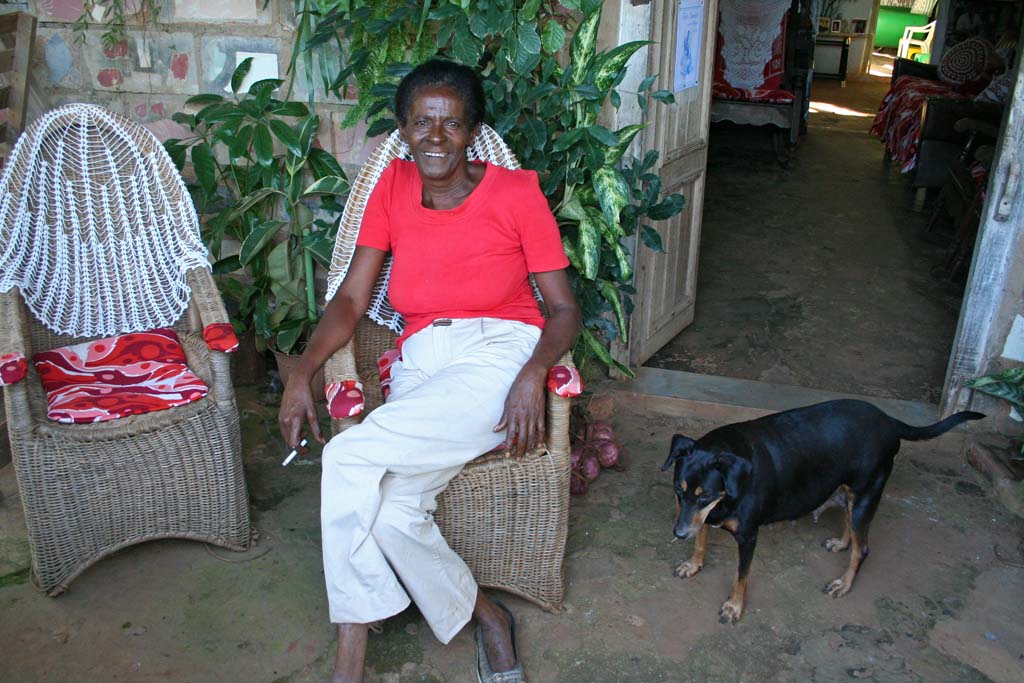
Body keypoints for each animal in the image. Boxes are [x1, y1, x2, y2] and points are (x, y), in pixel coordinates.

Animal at [663, 401, 983, 626]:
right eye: (678, 491)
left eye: (705, 495)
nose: (678, 533)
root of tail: (889, 421)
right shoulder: (703, 517)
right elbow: (701, 539)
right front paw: (693, 564)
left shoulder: (747, 534)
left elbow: (741, 575)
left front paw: (734, 606)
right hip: (849, 490)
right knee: (851, 525)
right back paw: (841, 542)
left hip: (868, 493)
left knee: (863, 548)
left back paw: (844, 583)